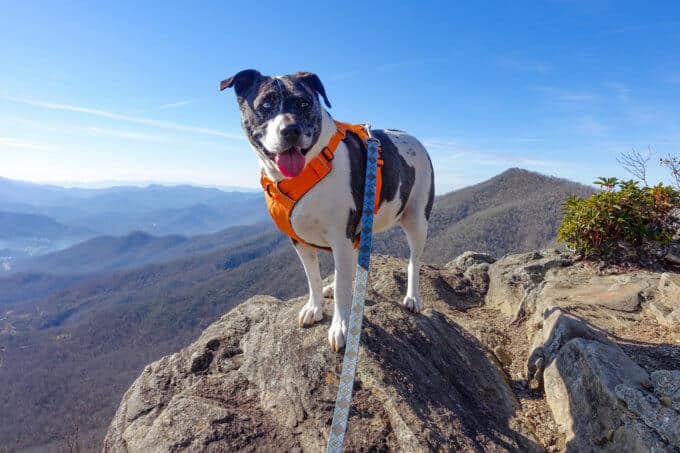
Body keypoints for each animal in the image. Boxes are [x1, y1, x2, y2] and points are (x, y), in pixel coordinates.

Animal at [223, 69, 436, 350]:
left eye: (304, 103)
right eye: (266, 105)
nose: (291, 129)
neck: (310, 167)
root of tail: (414, 138)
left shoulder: (341, 237)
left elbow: (345, 287)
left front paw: (340, 327)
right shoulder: (299, 240)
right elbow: (313, 277)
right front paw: (315, 308)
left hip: (416, 220)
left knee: (413, 260)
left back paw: (412, 297)